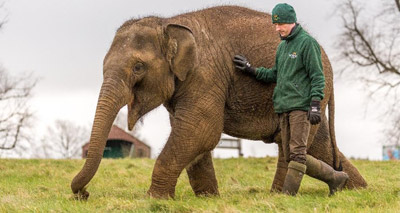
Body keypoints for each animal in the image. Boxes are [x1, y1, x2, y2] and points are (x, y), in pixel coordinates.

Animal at [70, 5, 368, 199]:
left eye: (138, 68)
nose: (83, 194)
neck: (170, 22)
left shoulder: (205, 75)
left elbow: (200, 130)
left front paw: (155, 199)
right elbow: (192, 134)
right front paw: (208, 198)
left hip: (312, 93)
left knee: (293, 145)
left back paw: (280, 196)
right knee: (317, 144)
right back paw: (352, 188)